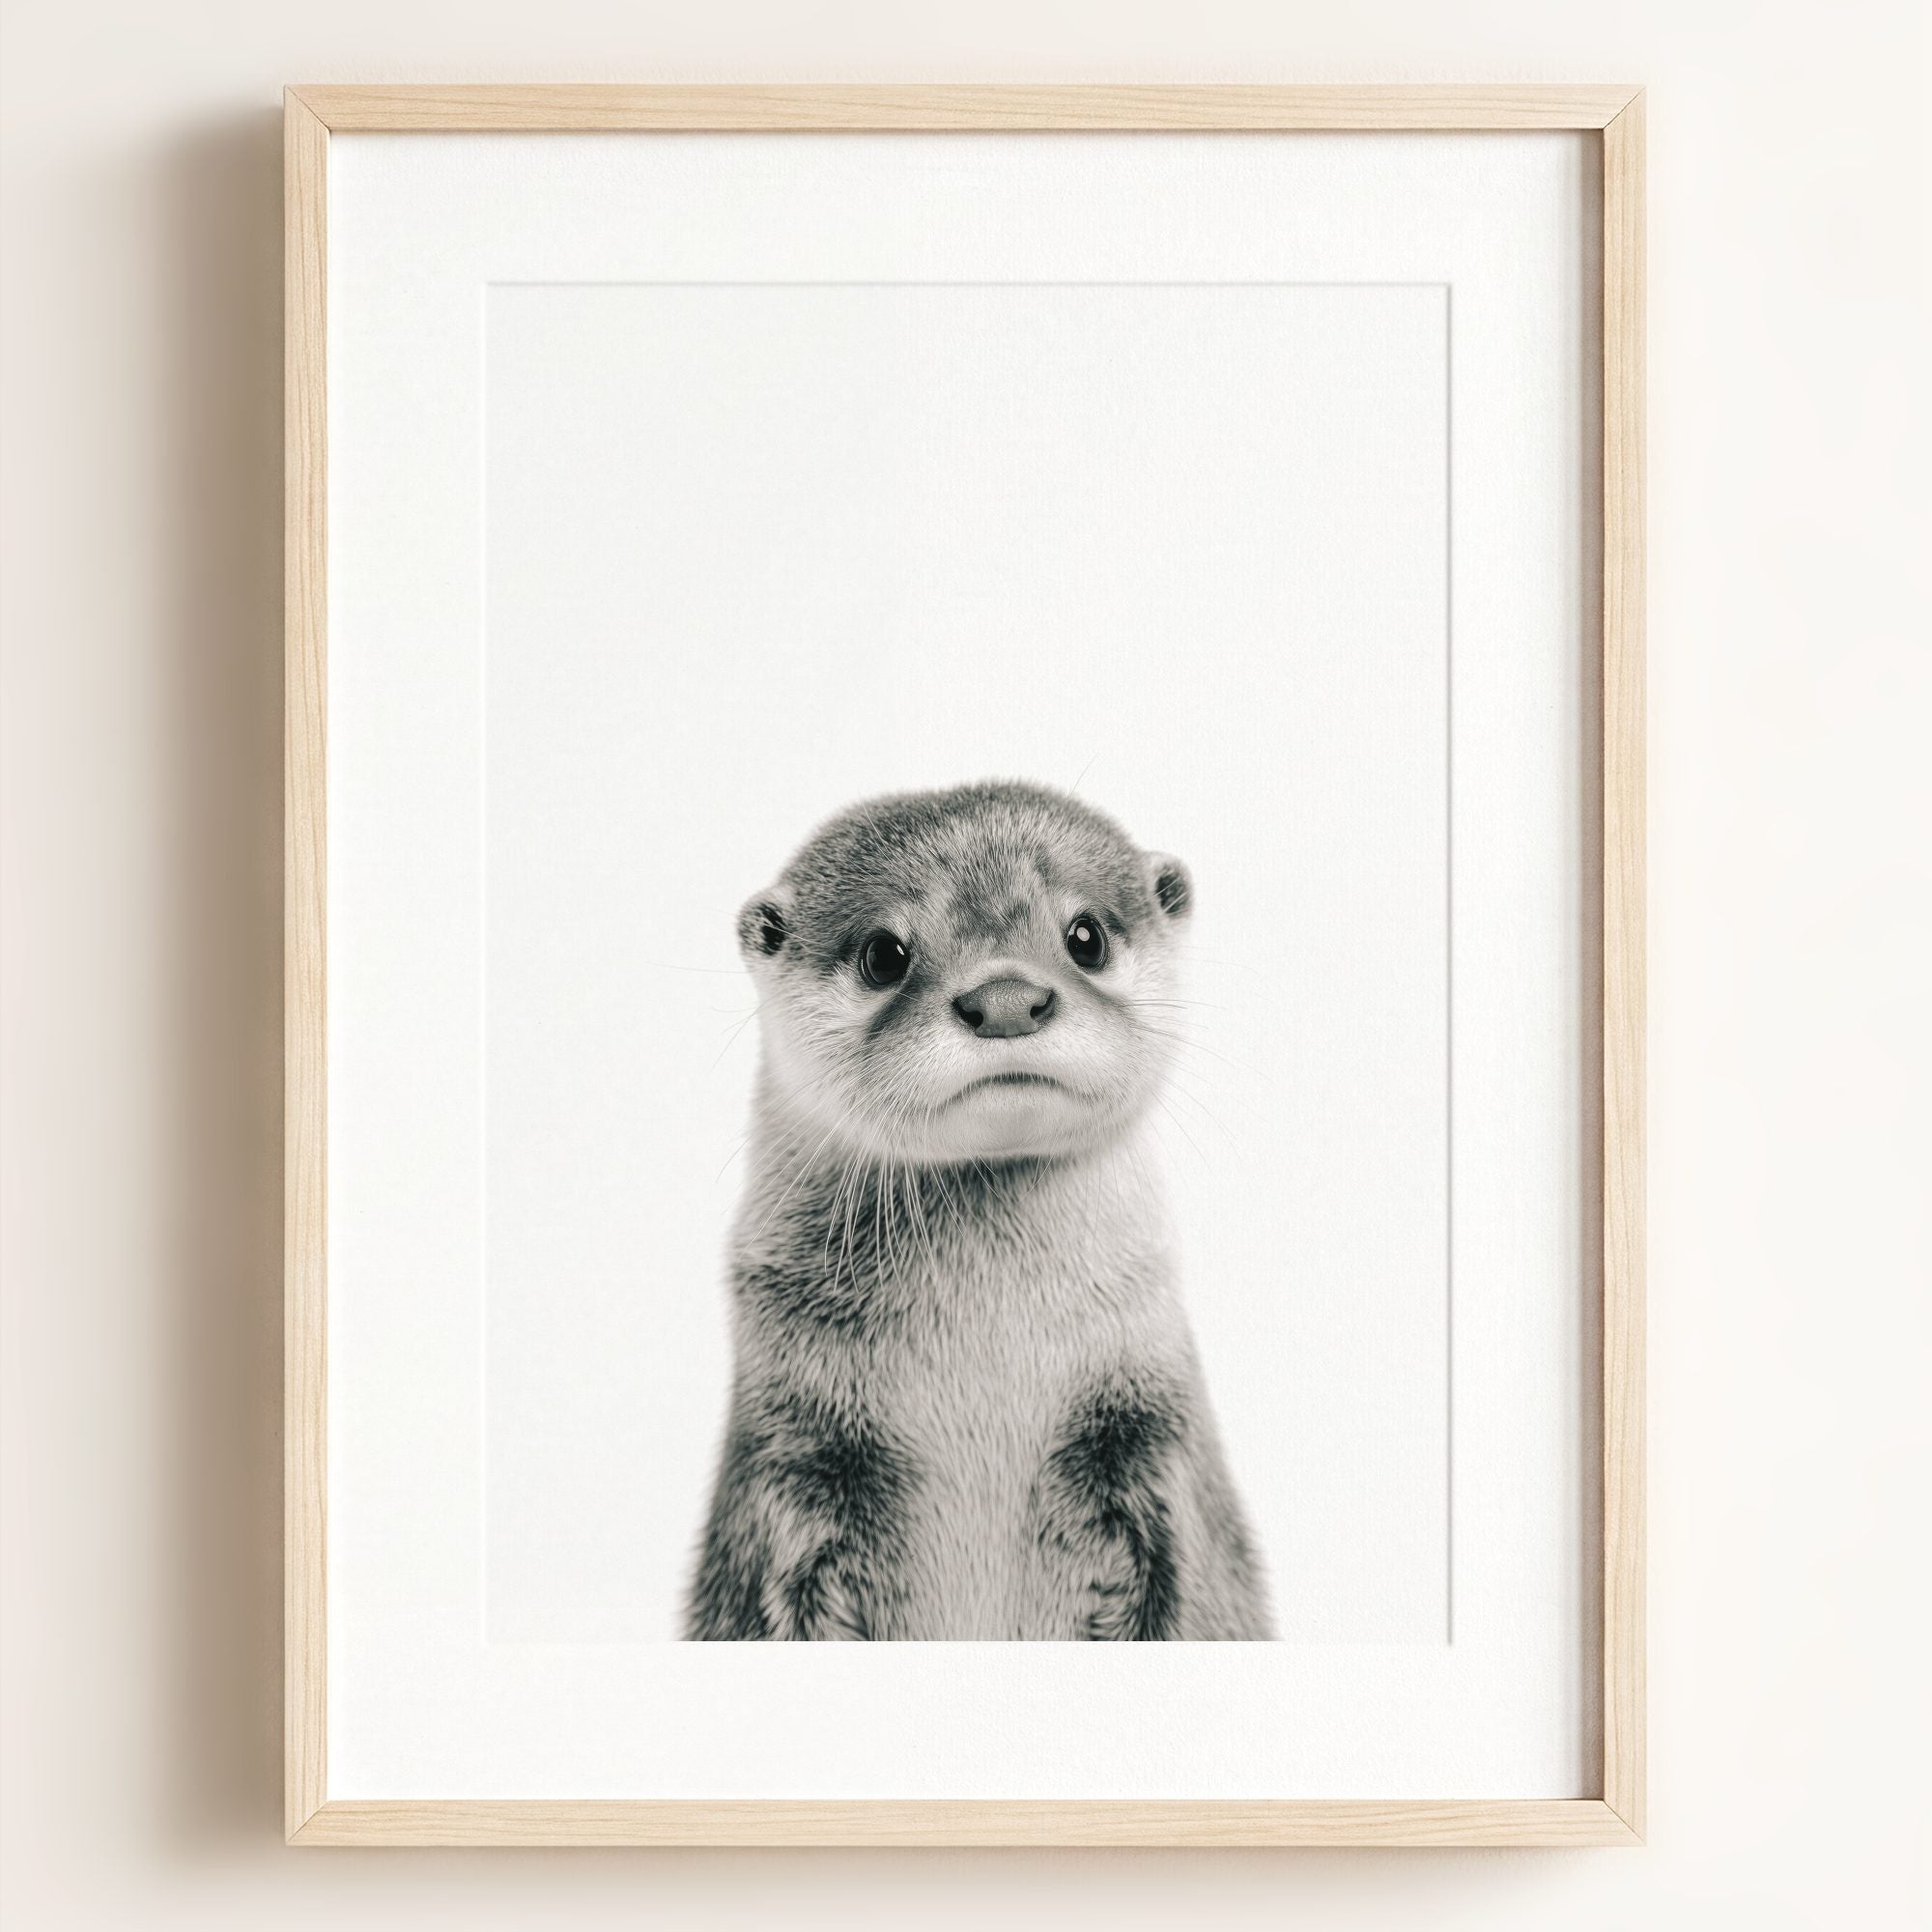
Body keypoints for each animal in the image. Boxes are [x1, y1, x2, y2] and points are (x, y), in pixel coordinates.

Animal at [685, 779, 1272, 1640]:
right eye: (884, 954)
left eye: (1086, 935)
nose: (1006, 999)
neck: (988, 1357)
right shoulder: (788, 1457)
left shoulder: (1156, 1442)